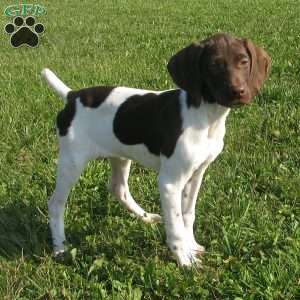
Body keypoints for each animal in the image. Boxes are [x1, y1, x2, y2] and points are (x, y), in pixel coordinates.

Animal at [42, 33, 272, 268]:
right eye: (213, 65)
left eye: (244, 61)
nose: (238, 92)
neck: (206, 116)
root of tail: (73, 96)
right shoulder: (170, 183)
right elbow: (176, 225)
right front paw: (184, 259)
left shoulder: (197, 174)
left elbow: (188, 215)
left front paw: (191, 246)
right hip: (72, 161)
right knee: (56, 204)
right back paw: (60, 247)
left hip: (120, 155)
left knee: (119, 189)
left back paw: (145, 217)